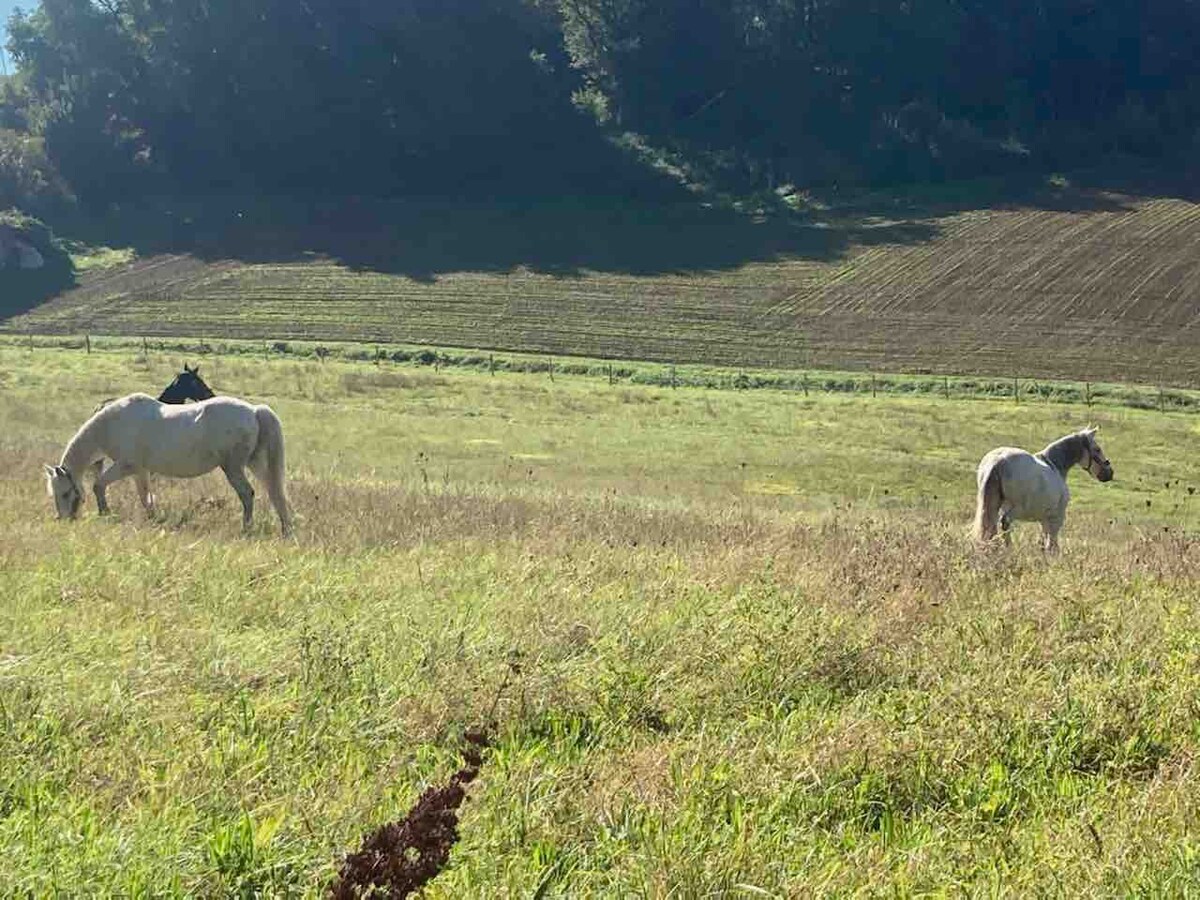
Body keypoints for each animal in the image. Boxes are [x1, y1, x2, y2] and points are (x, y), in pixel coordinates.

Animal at [45, 393, 294, 535]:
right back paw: (285, 529)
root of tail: (254, 411)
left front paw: (104, 513)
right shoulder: (140, 470)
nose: (63, 519)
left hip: (233, 468)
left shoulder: (125, 466)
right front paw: (152, 518)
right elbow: (145, 496)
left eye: (65, 493)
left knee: (247, 494)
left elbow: (99, 485)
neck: (113, 424)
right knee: (274, 493)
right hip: (256, 464)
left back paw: (246, 529)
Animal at [969, 427, 1108, 554]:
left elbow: (1043, 540)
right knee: (1004, 523)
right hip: (1016, 510)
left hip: (995, 506)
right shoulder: (1056, 517)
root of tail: (998, 461)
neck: (1055, 466)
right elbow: (1051, 541)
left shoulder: (1044, 518)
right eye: (1097, 449)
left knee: (991, 527)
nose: (1109, 473)